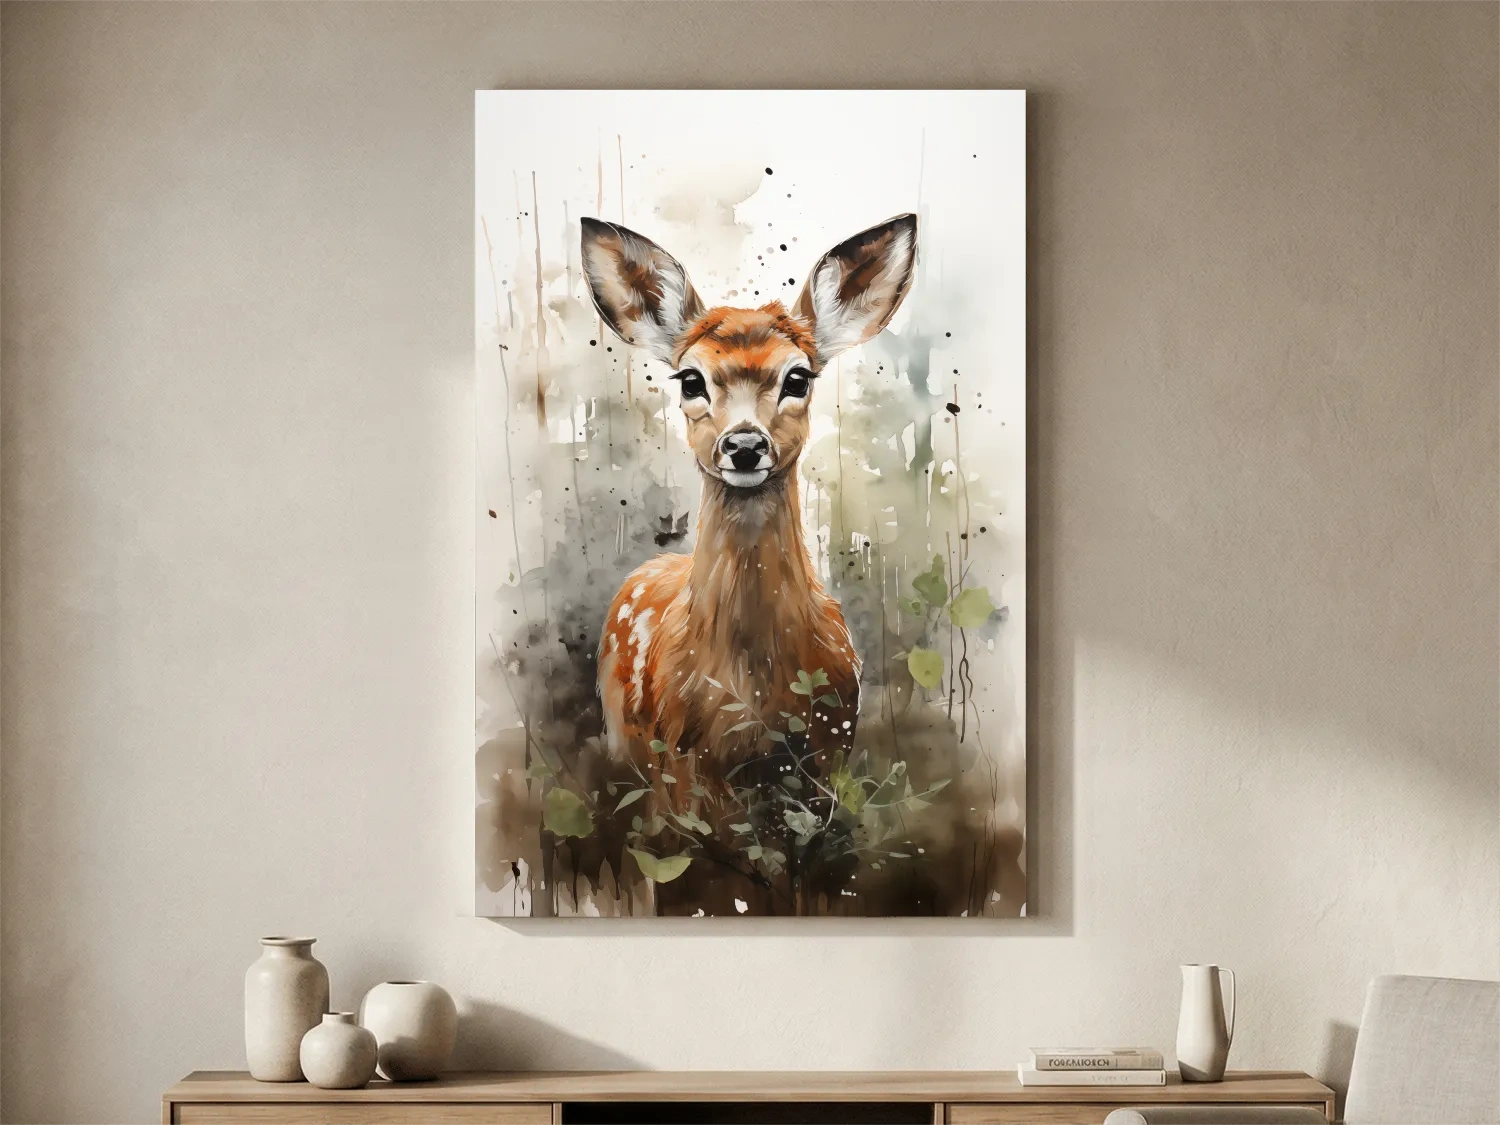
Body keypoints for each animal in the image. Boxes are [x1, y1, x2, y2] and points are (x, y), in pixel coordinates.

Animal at [580, 212, 917, 820]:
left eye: (798, 378)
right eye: (690, 379)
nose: (743, 445)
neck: (752, 696)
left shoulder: (830, 753)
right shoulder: (681, 769)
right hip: (626, 739)